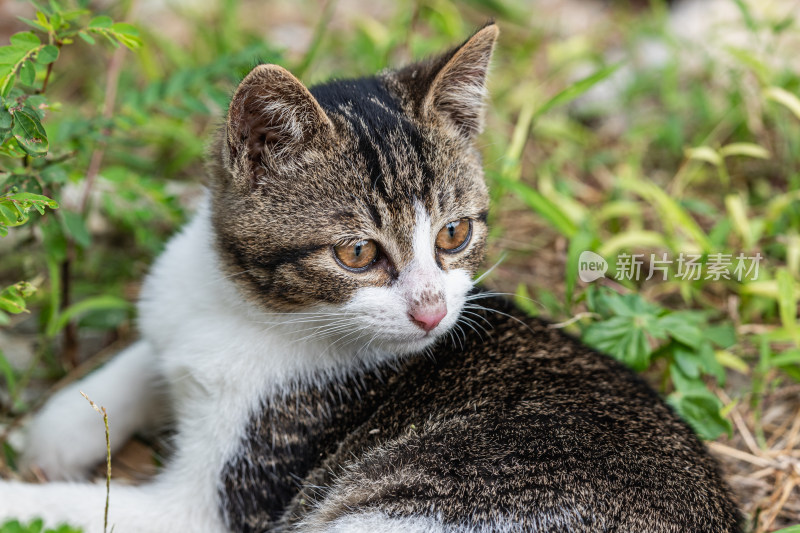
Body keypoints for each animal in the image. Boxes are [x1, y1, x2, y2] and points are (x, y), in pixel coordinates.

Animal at [0, 23, 740, 532]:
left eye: (453, 234)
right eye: (357, 252)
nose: (432, 312)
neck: (247, 305)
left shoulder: (226, 498)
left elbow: (86, 508)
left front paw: (22, 487)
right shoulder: (174, 303)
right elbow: (145, 351)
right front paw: (58, 427)